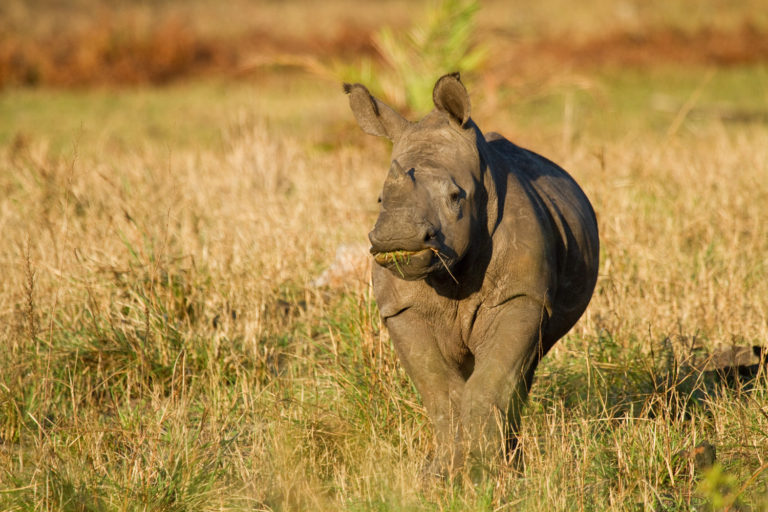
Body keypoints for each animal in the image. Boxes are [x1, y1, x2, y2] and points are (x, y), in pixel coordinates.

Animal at [344, 73, 600, 476]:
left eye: (455, 197)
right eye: (381, 200)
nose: (396, 236)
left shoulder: (521, 295)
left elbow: (492, 380)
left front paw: (485, 473)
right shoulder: (401, 308)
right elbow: (439, 391)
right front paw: (443, 474)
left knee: (521, 372)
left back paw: (512, 466)